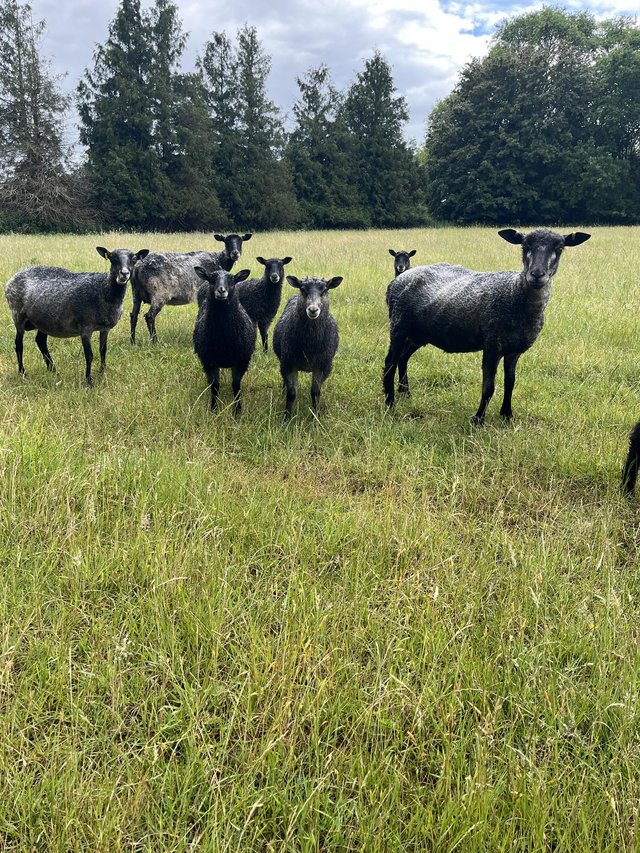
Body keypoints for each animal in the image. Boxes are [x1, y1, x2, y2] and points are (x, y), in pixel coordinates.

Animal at [5, 246, 149, 386]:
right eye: (112, 258)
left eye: (134, 259)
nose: (124, 274)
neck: (104, 290)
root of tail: (11, 280)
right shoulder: (86, 328)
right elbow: (89, 355)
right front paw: (89, 381)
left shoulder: (105, 328)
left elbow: (103, 350)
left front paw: (102, 372)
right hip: (18, 316)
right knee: (18, 344)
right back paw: (23, 372)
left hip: (44, 321)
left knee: (41, 341)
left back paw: (53, 370)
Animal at [192, 266, 255, 414]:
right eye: (211, 278)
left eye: (232, 279)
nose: (221, 290)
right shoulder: (209, 361)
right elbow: (215, 385)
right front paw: (214, 409)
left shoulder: (241, 361)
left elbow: (236, 385)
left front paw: (237, 410)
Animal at [272, 275, 343, 420]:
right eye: (303, 289)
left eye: (325, 290)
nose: (313, 310)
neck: (309, 346)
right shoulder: (288, 364)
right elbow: (292, 393)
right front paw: (286, 418)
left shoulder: (323, 366)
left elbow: (315, 392)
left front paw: (315, 417)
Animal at [383, 228, 591, 423]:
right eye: (524, 246)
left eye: (559, 249)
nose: (537, 275)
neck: (515, 294)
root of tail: (398, 279)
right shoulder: (492, 345)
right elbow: (489, 387)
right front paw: (478, 420)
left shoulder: (514, 350)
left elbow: (510, 382)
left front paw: (507, 415)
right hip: (398, 326)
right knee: (390, 362)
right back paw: (390, 402)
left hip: (418, 334)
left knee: (403, 358)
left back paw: (405, 393)